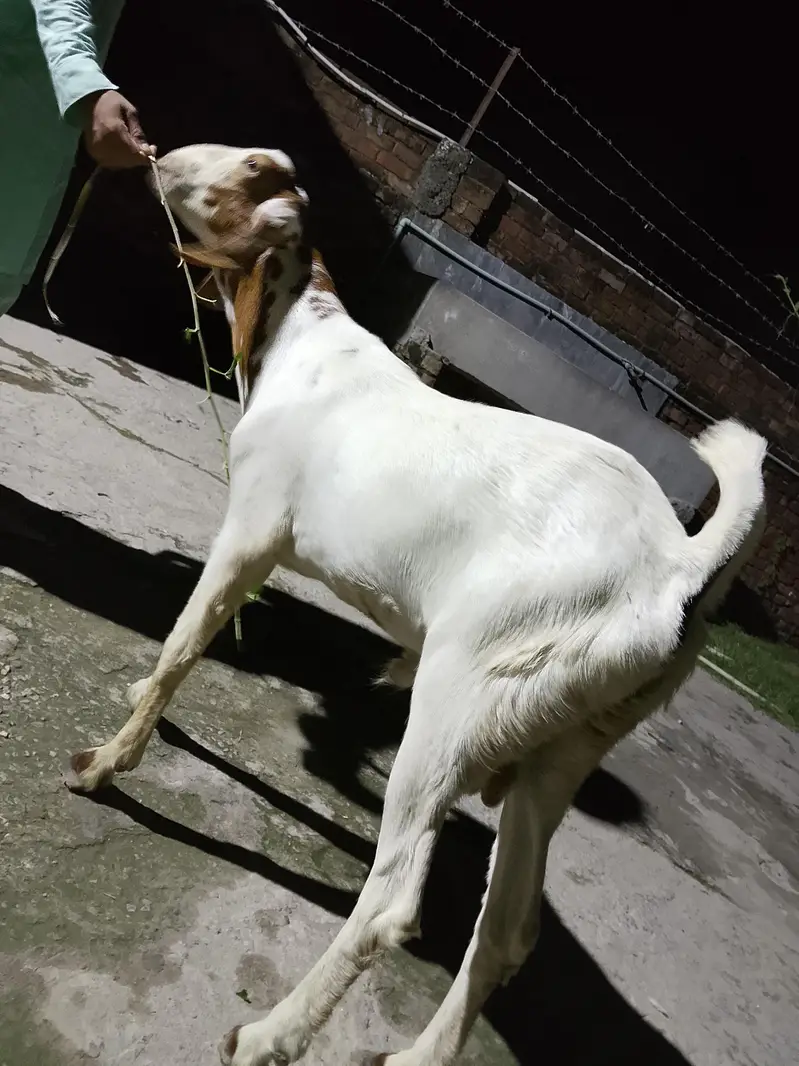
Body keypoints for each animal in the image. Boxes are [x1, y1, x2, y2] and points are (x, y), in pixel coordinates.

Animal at [66, 144, 767, 1066]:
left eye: (239, 174)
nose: (164, 156)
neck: (306, 335)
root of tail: (675, 565)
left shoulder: (251, 531)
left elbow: (184, 645)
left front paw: (110, 762)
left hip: (457, 701)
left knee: (393, 902)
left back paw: (269, 1033)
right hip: (557, 744)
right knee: (507, 930)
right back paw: (417, 1054)